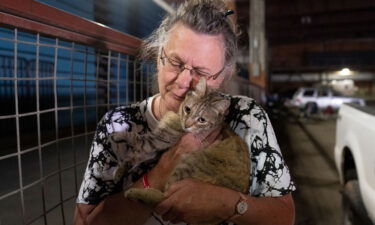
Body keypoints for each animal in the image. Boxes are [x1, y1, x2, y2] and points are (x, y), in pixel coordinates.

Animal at [123, 78, 253, 225]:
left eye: (201, 120)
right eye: (188, 109)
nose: (187, 124)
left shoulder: (159, 139)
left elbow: (138, 144)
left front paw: (119, 137)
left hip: (190, 163)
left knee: (164, 199)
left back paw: (136, 194)